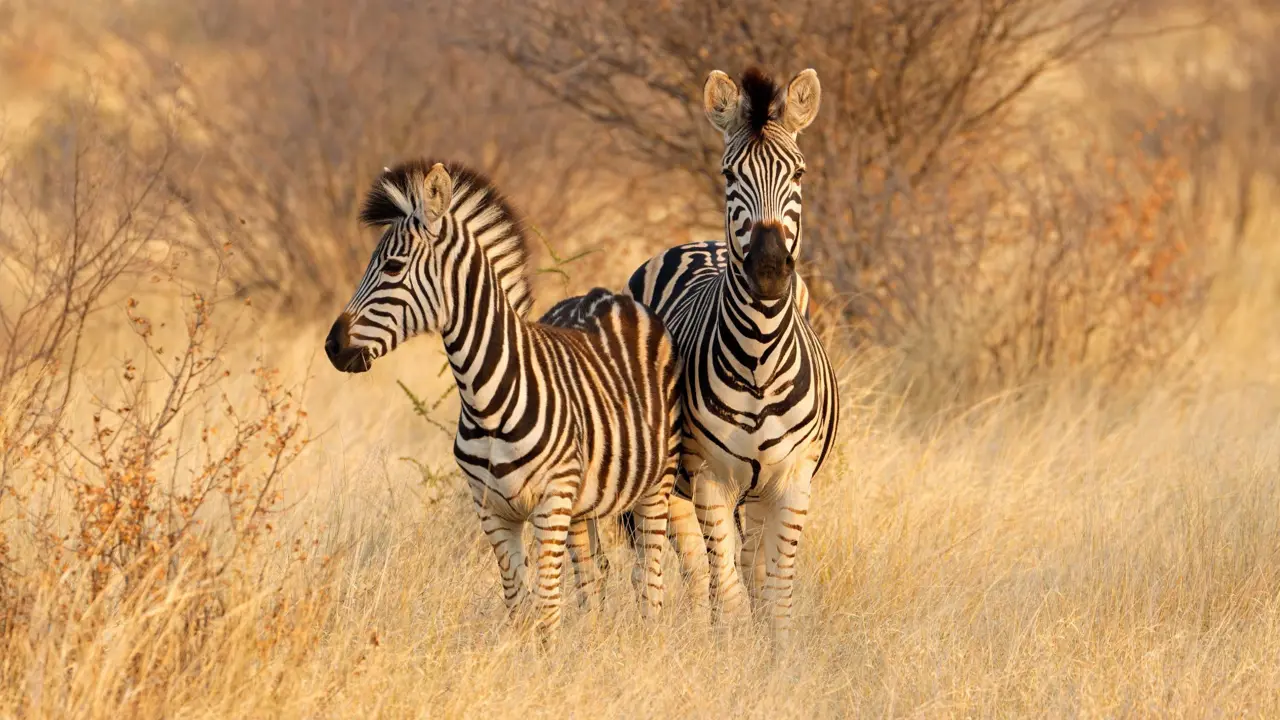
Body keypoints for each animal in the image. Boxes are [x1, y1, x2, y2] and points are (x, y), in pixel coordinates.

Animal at [323, 159, 682, 638]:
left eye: (394, 267)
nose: (333, 346)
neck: (486, 398)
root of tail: (607, 295)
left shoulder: (550, 502)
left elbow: (547, 606)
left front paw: (549, 659)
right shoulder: (492, 510)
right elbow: (518, 604)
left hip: (656, 483)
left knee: (649, 575)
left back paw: (650, 638)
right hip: (583, 505)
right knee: (592, 580)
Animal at [618, 66, 840, 642]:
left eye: (799, 173)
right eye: (728, 175)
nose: (768, 270)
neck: (759, 355)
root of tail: (698, 244)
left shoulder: (792, 479)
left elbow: (776, 593)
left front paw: (776, 655)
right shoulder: (709, 477)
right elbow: (728, 589)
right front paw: (728, 651)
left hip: (758, 493)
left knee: (747, 567)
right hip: (674, 481)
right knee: (693, 570)